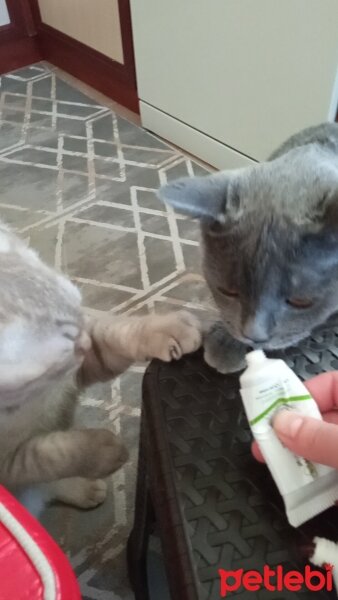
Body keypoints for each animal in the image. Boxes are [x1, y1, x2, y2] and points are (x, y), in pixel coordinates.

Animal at [0, 223, 201, 512]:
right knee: (42, 486)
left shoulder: (82, 366)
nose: (84, 342)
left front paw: (165, 329)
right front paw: (103, 449)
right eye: (67, 338)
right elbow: (54, 455)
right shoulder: (8, 462)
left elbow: (119, 333)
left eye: (79, 308)